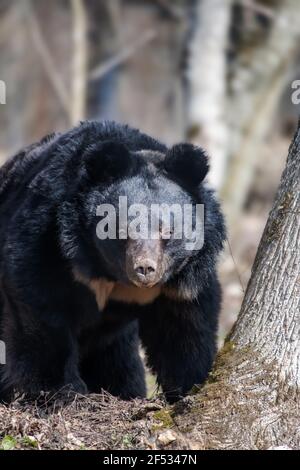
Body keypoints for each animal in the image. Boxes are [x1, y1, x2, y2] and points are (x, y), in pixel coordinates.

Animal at [0, 122, 225, 404]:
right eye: (123, 229)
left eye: (168, 232)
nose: (145, 269)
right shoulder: (47, 238)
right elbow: (40, 299)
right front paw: (57, 391)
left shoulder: (182, 279)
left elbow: (185, 325)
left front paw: (190, 386)